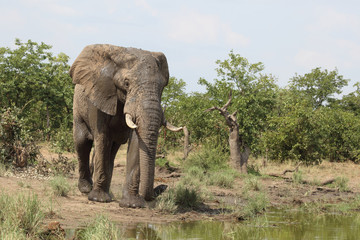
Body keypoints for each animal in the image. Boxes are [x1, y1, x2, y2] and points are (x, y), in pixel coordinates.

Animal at [69, 44, 181, 207]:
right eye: (127, 83)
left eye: (162, 87)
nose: (163, 187)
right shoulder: (99, 95)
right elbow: (102, 137)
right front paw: (98, 199)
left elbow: (136, 140)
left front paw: (132, 204)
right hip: (77, 108)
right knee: (83, 143)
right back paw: (86, 189)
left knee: (111, 151)